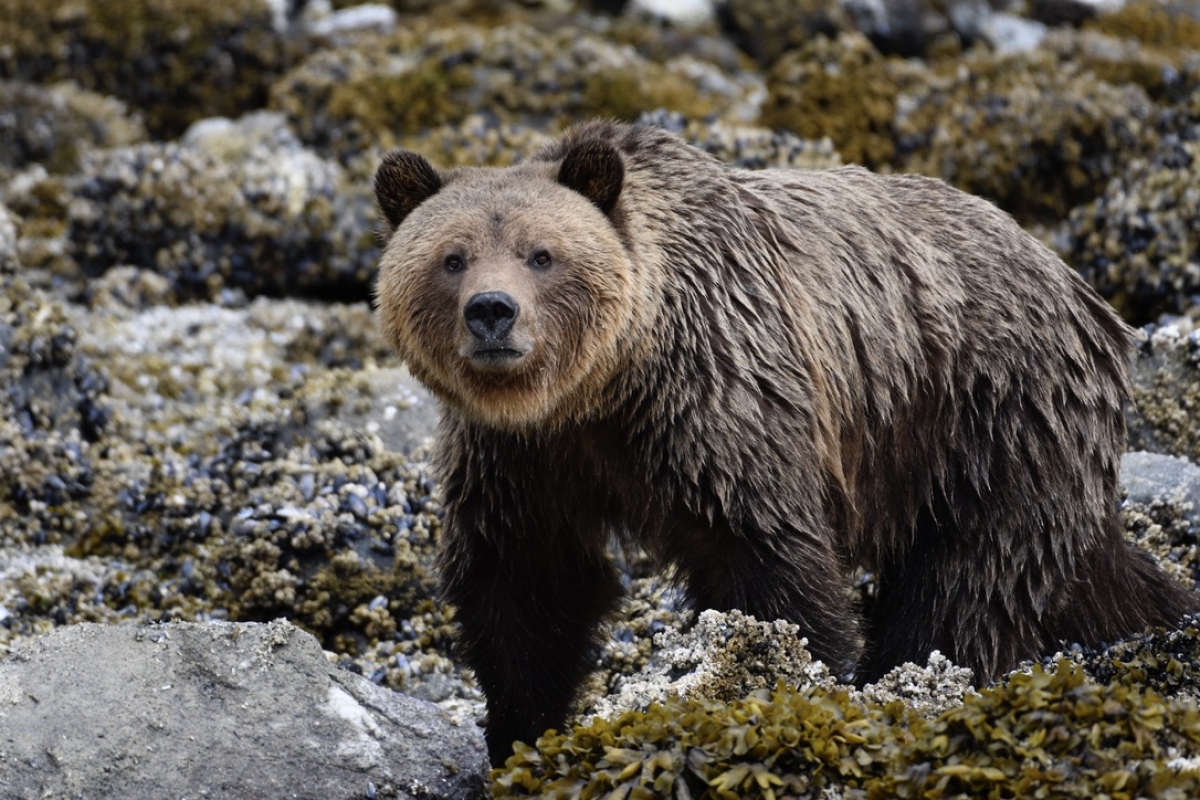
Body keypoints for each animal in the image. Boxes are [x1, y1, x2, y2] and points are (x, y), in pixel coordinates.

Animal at [369, 120, 1195, 767]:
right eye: (451, 256)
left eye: (543, 254)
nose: (492, 312)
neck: (602, 389)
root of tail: (1080, 289)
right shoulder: (522, 457)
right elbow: (528, 581)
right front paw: (518, 729)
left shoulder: (719, 399)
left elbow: (767, 561)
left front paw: (789, 679)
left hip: (989, 414)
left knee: (968, 581)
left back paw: (916, 676)